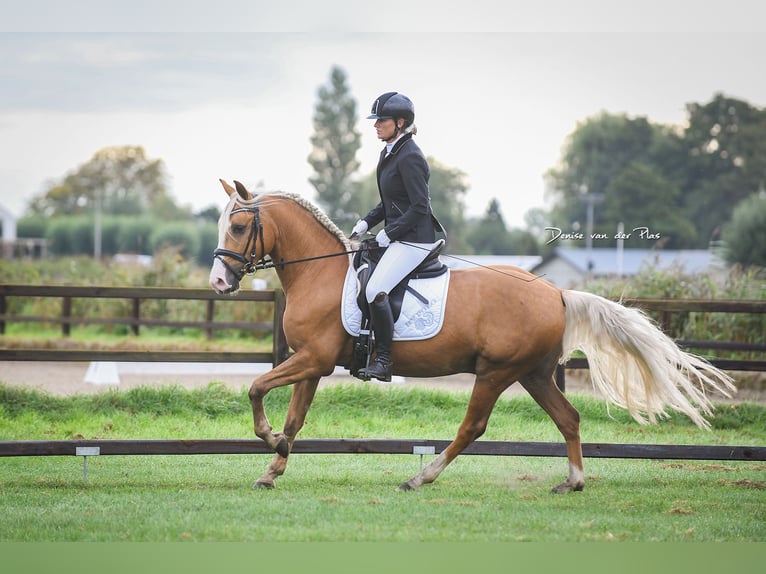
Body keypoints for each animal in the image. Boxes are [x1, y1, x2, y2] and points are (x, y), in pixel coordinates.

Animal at [210, 181, 736, 496]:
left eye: (238, 226)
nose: (218, 282)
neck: (318, 274)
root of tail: (557, 292)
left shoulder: (314, 359)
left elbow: (255, 387)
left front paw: (268, 440)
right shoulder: (313, 363)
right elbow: (295, 418)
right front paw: (274, 464)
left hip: (497, 372)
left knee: (473, 427)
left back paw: (421, 477)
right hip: (534, 374)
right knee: (568, 418)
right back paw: (572, 482)